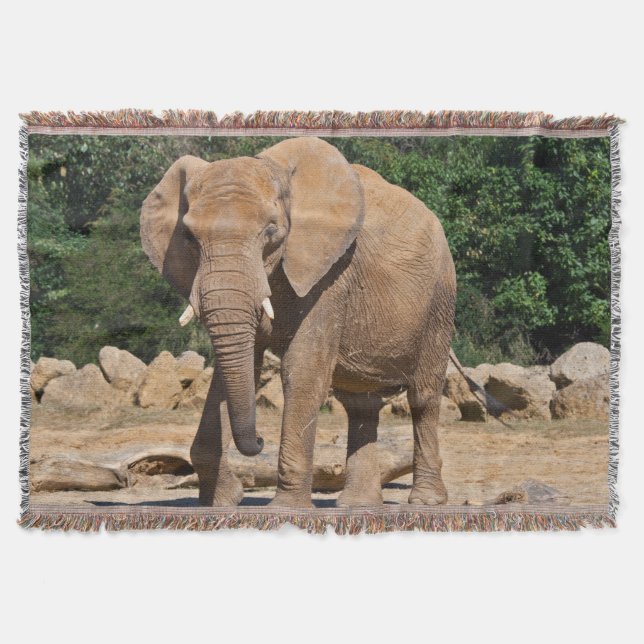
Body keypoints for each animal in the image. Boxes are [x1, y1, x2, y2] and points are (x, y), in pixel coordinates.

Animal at [140, 137, 456, 508]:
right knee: (360, 404)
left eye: (271, 230)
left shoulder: (332, 274)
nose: (260, 441)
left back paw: (425, 501)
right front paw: (221, 500)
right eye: (189, 237)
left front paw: (285, 509)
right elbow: (234, 370)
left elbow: (301, 370)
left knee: (423, 396)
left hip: (440, 299)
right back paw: (358, 504)